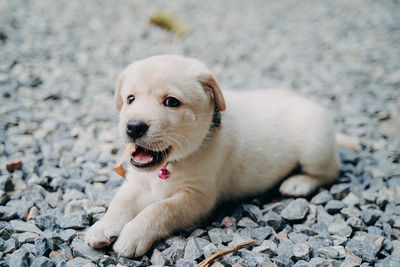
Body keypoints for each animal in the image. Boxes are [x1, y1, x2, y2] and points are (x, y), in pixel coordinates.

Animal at [85, 54, 356, 258]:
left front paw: (132, 234)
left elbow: (160, 209)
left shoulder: (197, 198)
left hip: (314, 143)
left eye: (171, 102)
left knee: (331, 171)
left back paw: (298, 182)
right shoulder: (137, 182)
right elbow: (119, 202)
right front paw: (103, 226)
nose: (133, 127)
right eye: (130, 99)